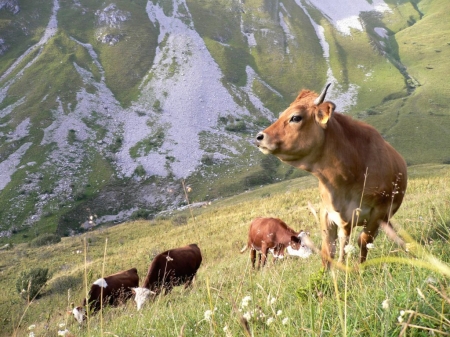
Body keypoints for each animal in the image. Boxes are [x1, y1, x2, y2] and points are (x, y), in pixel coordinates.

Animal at [256, 84, 408, 268]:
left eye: (296, 117)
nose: (259, 137)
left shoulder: (378, 211)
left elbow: (363, 241)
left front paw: (359, 267)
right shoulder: (327, 212)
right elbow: (328, 249)